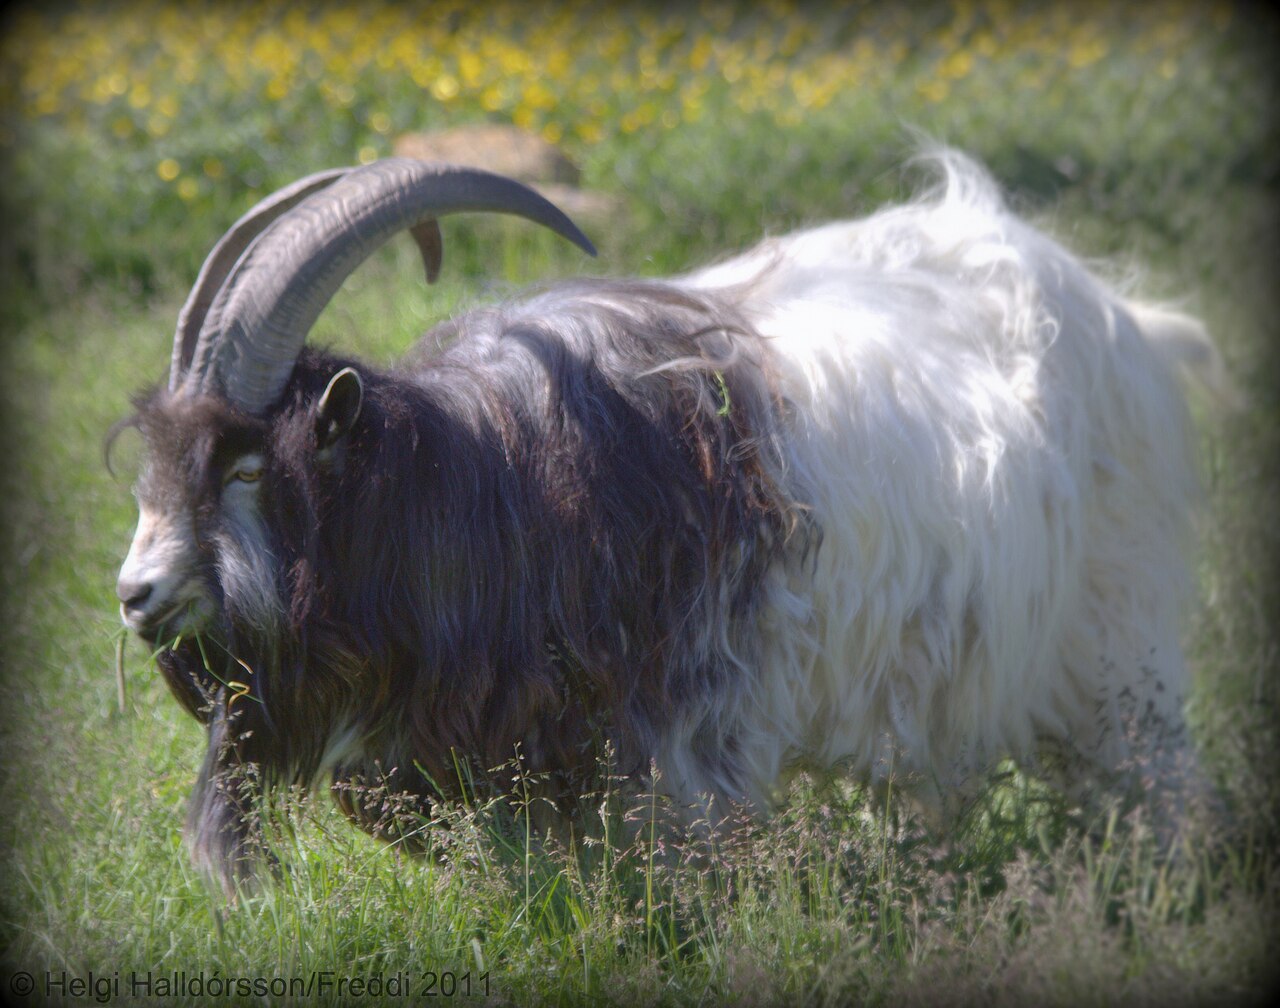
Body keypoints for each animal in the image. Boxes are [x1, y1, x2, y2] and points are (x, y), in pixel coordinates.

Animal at [114, 154, 1218, 894]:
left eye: (248, 468)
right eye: (156, 467)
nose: (135, 594)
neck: (488, 490)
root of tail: (1125, 319)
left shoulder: (683, 751)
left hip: (1119, 652)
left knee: (1160, 790)